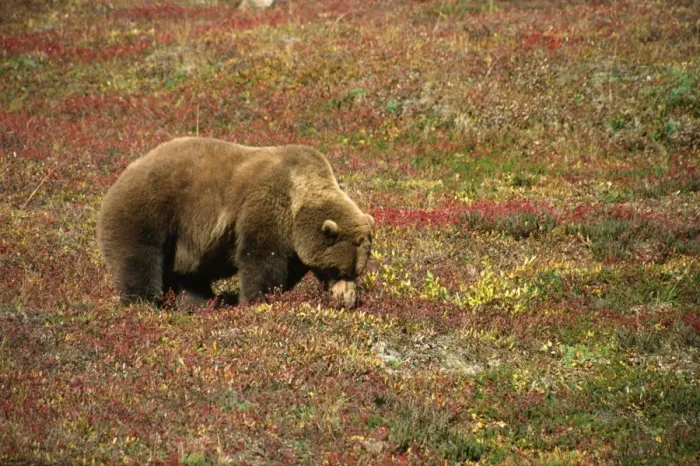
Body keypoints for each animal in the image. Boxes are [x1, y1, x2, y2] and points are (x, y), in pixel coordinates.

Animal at [96, 137, 374, 309]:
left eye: (357, 271)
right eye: (339, 270)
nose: (348, 301)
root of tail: (122, 175)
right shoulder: (266, 204)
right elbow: (261, 258)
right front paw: (258, 299)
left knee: (191, 276)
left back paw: (199, 303)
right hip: (149, 211)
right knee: (139, 258)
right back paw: (143, 302)